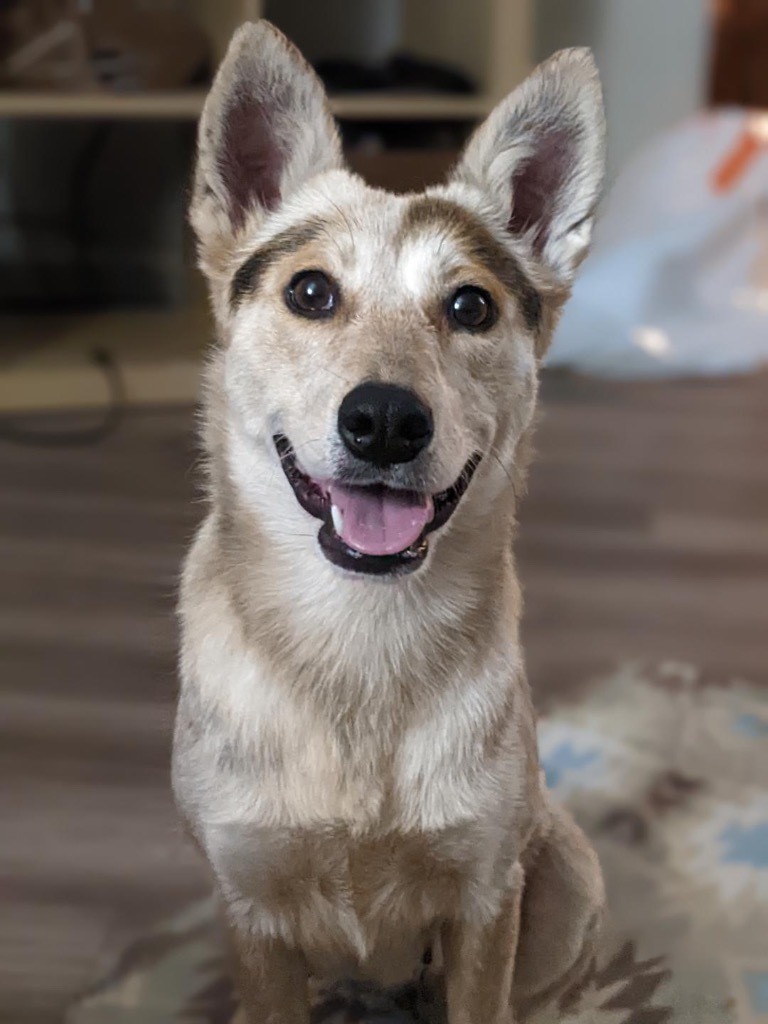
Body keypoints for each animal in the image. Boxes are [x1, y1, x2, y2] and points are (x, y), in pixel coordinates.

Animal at [173, 22, 606, 1024]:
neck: (359, 640)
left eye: (471, 305)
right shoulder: (252, 904)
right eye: (309, 293)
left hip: (566, 871)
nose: (383, 421)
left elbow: (484, 993)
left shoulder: (486, 895)